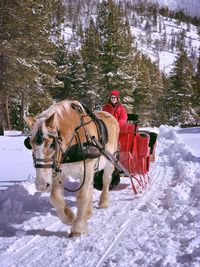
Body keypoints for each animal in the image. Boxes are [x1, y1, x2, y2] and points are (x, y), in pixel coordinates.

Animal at [24, 100, 119, 237]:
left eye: (52, 144)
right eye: (30, 144)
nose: (41, 185)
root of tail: (110, 115)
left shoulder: (86, 170)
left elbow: (82, 196)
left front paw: (78, 228)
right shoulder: (59, 171)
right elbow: (55, 196)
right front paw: (69, 217)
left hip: (110, 160)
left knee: (106, 180)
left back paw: (103, 202)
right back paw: (88, 212)